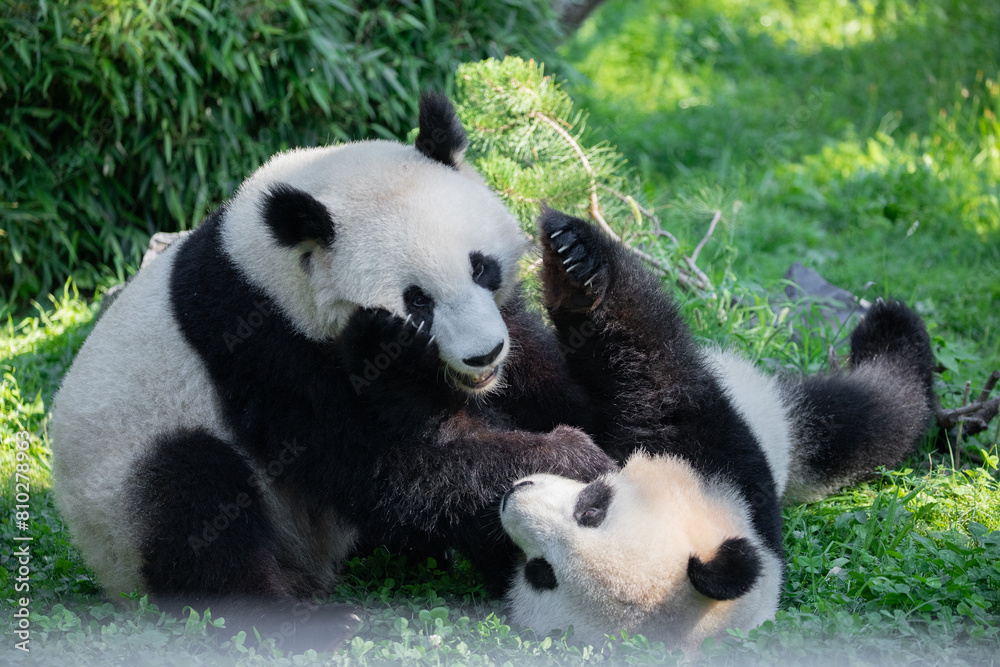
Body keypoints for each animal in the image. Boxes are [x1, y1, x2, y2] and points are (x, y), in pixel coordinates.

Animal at [49, 95, 616, 650]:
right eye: (417, 301)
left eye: (481, 267)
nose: (484, 355)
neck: (267, 265)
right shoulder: (262, 348)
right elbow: (379, 463)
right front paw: (569, 456)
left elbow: (538, 375)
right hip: (124, 500)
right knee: (193, 504)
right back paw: (304, 621)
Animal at [499, 209, 936, 653]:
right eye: (594, 508)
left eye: (541, 572)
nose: (512, 495)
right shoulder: (716, 455)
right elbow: (649, 370)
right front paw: (575, 258)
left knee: (874, 415)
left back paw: (891, 330)